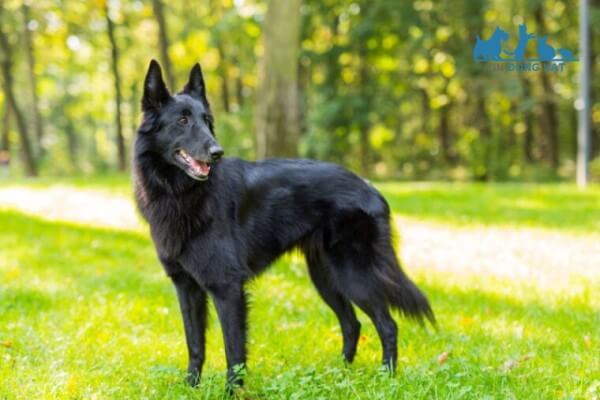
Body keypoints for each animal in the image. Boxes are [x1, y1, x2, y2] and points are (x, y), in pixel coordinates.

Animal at [134, 60, 434, 390]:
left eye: (206, 120)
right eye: (183, 120)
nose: (217, 152)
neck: (180, 192)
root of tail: (370, 187)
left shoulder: (227, 288)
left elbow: (233, 350)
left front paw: (232, 392)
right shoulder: (187, 288)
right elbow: (195, 344)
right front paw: (191, 387)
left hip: (353, 275)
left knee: (387, 324)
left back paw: (386, 378)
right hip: (325, 277)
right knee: (352, 323)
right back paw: (341, 375)